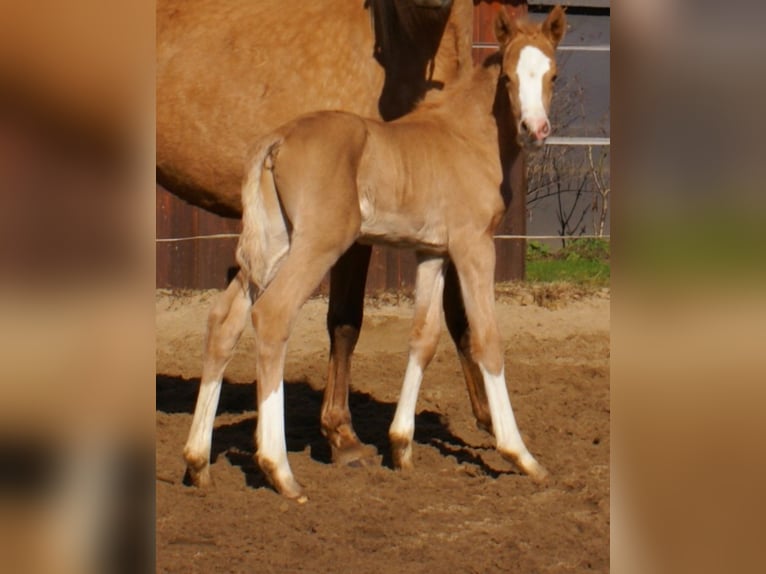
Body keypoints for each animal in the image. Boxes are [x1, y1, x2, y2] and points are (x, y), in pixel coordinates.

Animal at [183, 4, 568, 502]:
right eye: (507, 77)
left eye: (553, 75)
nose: (534, 130)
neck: (464, 138)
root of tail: (277, 140)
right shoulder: (474, 245)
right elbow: (487, 339)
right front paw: (521, 455)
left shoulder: (431, 253)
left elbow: (423, 337)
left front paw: (401, 447)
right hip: (318, 243)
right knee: (271, 316)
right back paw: (280, 471)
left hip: (270, 246)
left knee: (223, 321)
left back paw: (197, 462)